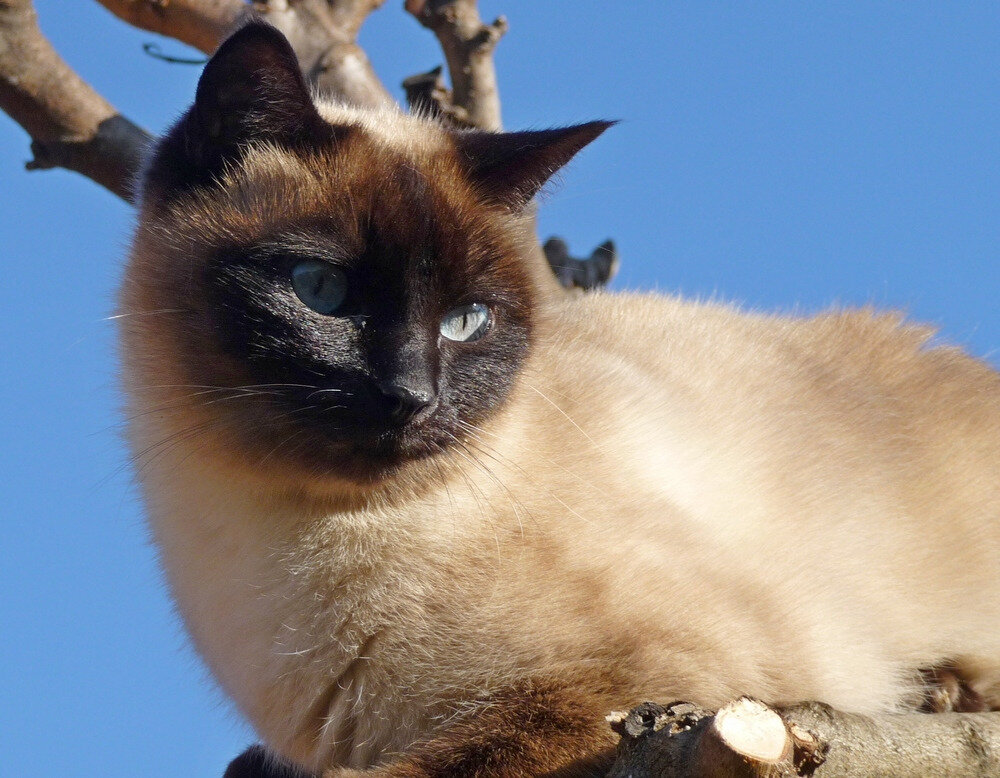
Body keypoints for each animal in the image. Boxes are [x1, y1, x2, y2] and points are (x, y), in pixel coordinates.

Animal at [121, 21, 1000, 772]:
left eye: (466, 320)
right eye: (322, 290)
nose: (411, 395)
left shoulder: (639, 691)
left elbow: (465, 753)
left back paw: (946, 689)